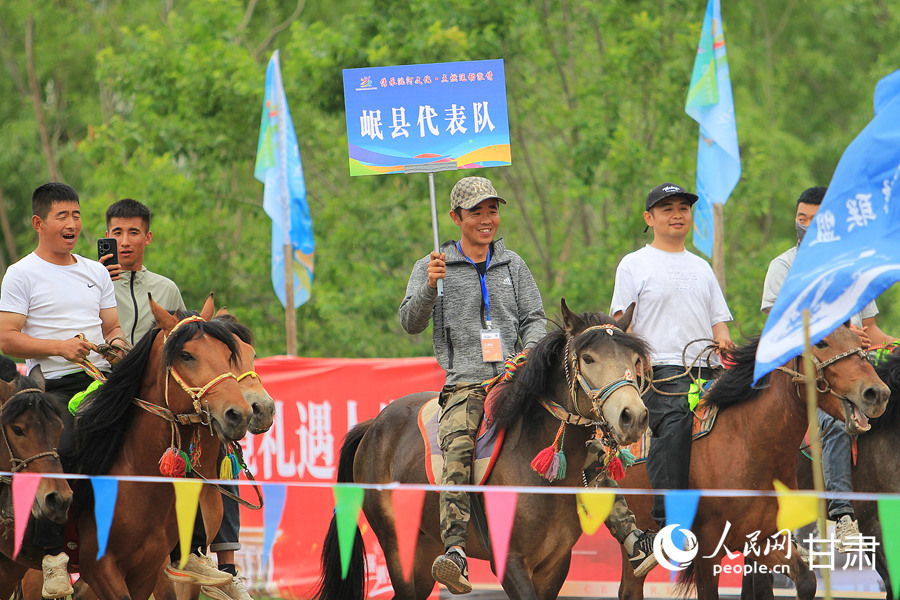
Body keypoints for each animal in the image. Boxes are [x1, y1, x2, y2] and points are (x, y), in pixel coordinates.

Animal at [315, 299, 652, 600]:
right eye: (588, 358)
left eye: (633, 359)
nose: (632, 416)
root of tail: (373, 426)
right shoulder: (510, 562)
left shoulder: (554, 564)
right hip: (399, 548)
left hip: (424, 550)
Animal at [616, 325, 890, 600]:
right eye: (822, 343)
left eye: (860, 342)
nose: (878, 393)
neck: (747, 442)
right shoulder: (708, 547)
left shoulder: (763, 538)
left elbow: (806, 580)